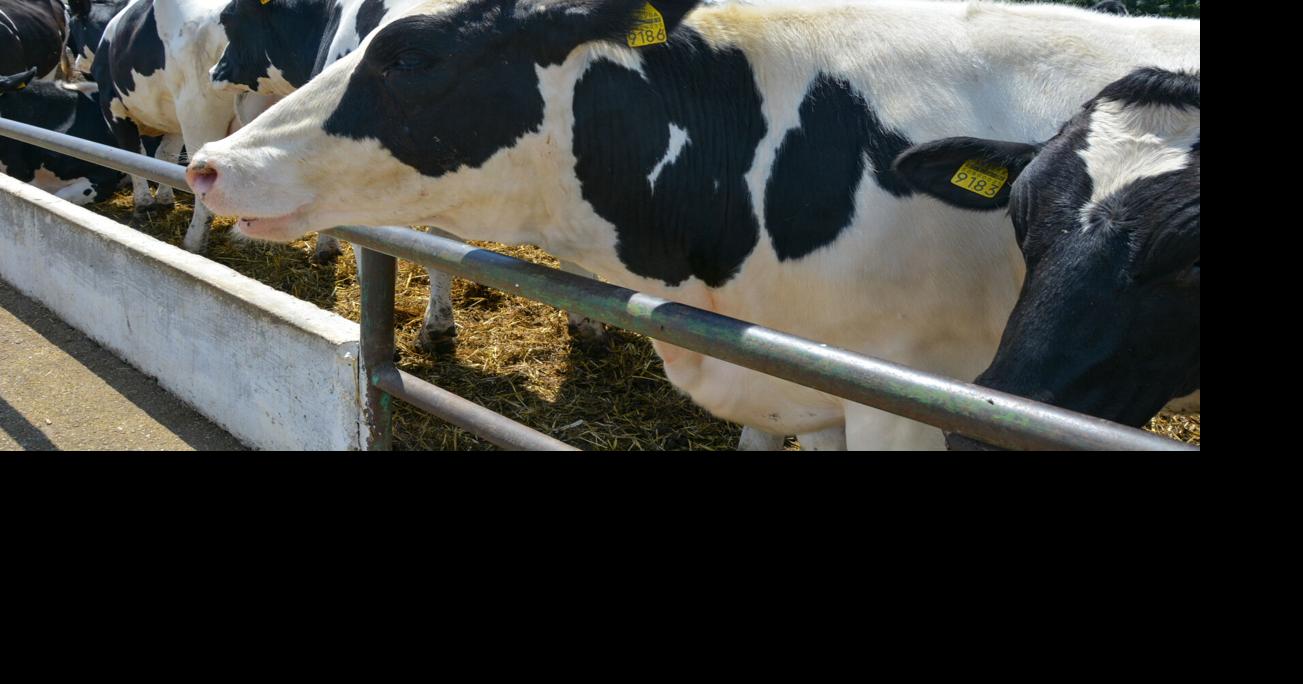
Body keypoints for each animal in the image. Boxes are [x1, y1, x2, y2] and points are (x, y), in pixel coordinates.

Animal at [93, 0, 242, 253]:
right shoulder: (173, 118)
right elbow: (164, 156)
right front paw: (164, 198)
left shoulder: (112, 105)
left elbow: (133, 154)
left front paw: (143, 204)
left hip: (200, 115)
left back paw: (193, 243)